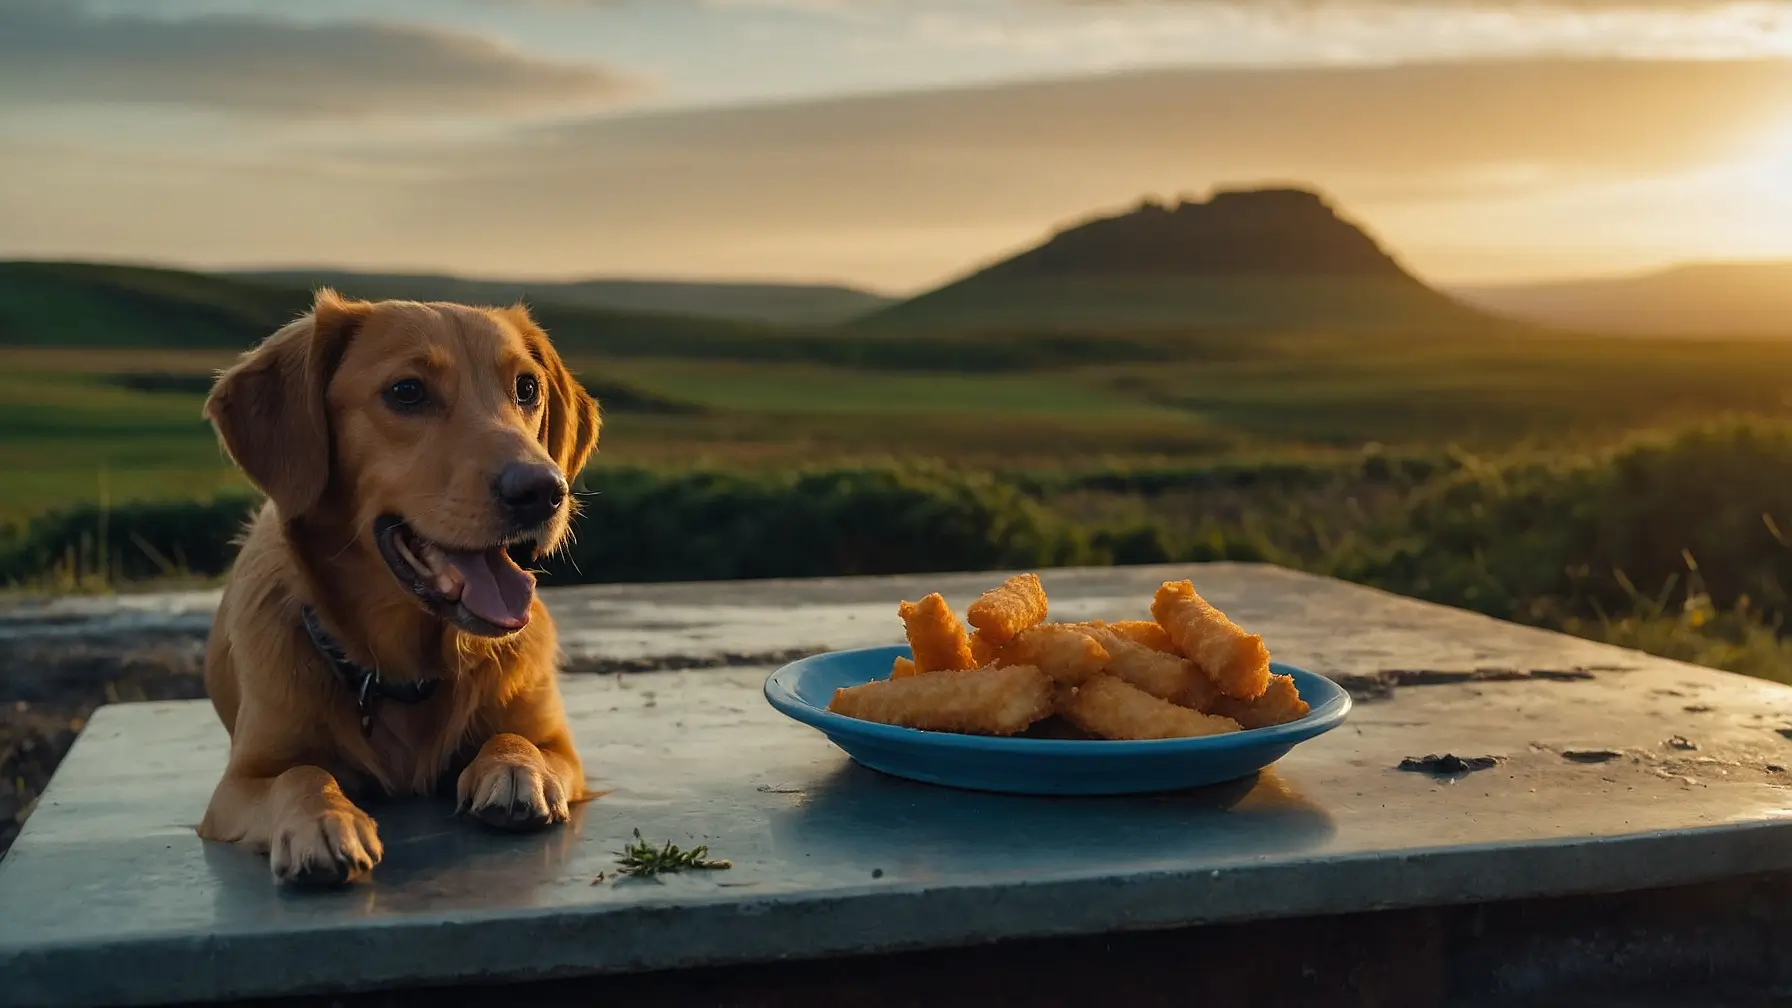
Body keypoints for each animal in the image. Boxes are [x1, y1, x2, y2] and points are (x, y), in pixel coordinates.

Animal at [196, 286, 602, 882]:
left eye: (527, 388)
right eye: (407, 392)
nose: (544, 490)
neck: (409, 668)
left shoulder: (562, 748)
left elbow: (518, 737)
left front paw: (514, 769)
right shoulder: (238, 784)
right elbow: (301, 774)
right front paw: (323, 821)